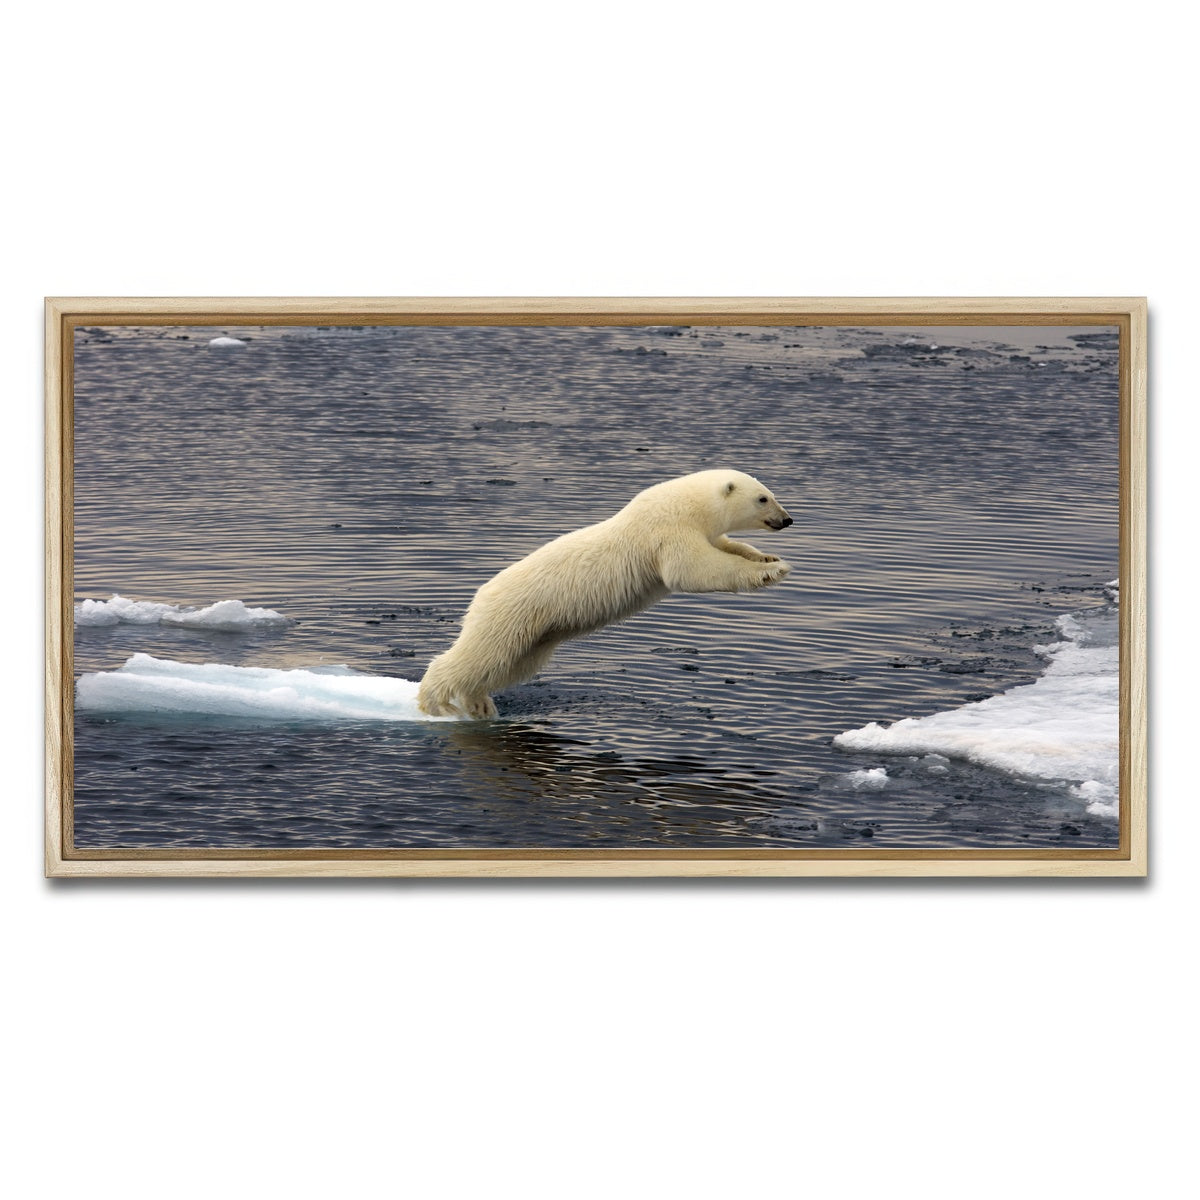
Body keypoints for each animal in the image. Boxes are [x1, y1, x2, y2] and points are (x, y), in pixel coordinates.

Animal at [416, 469, 793, 719]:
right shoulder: (666, 532)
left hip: (537, 634)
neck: (686, 504)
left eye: (771, 492)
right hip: (513, 613)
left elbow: (727, 546)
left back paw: (479, 703)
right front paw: (770, 571)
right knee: (480, 655)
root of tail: (480, 594)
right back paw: (435, 702)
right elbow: (694, 570)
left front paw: (767, 558)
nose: (787, 519)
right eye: (763, 498)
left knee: (508, 665)